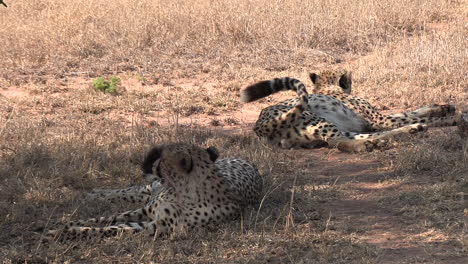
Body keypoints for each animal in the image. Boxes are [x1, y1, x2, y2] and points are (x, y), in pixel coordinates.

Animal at [45, 143, 264, 240]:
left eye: (165, 156)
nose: (154, 163)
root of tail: (250, 162)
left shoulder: (157, 225)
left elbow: (113, 227)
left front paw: (63, 232)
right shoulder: (146, 210)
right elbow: (104, 219)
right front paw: (61, 224)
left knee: (132, 193)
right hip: (149, 189)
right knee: (129, 190)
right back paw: (94, 194)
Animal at [241, 69, 460, 153]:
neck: (327, 88)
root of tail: (258, 125)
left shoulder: (378, 118)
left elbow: (411, 112)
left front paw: (443, 108)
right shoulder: (379, 120)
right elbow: (411, 116)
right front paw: (453, 119)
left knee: (344, 139)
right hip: (315, 118)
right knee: (339, 140)